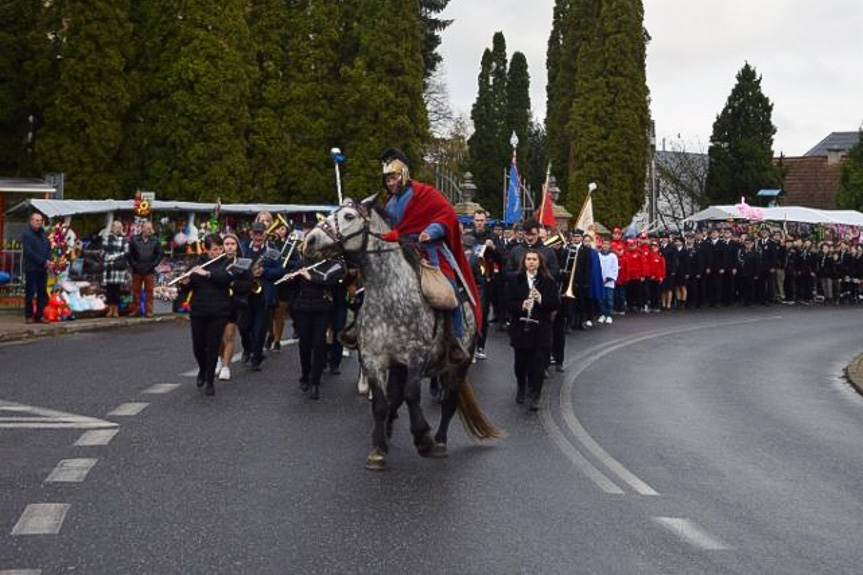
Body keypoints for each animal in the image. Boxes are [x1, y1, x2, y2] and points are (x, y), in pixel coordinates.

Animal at [306, 200, 502, 470]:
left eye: (349, 216)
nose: (310, 240)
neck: (389, 293)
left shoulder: (417, 353)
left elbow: (412, 394)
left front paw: (423, 439)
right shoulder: (374, 358)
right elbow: (381, 402)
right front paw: (378, 449)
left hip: (459, 362)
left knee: (449, 400)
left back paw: (440, 442)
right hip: (399, 365)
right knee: (395, 396)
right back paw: (388, 428)